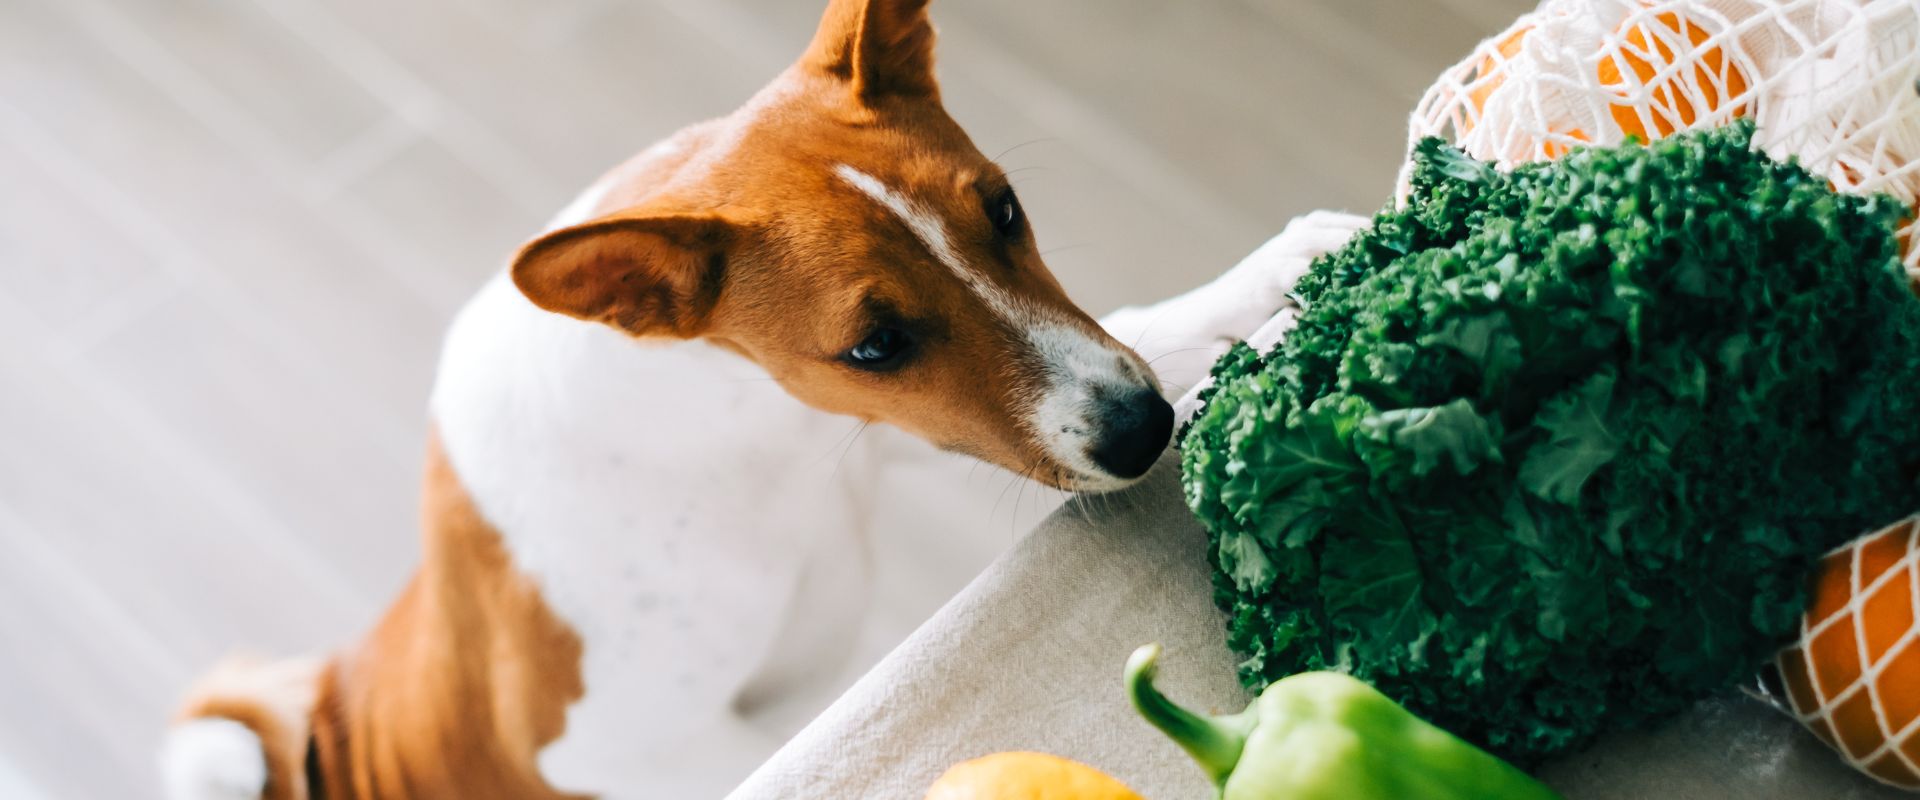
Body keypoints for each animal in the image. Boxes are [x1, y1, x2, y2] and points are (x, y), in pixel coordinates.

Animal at [161, 1, 1367, 798]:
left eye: (1006, 210)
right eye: (874, 344)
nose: (1143, 431)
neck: (737, 438)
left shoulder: (893, 435)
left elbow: (1142, 324)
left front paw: (1285, 268)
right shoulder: (621, 750)